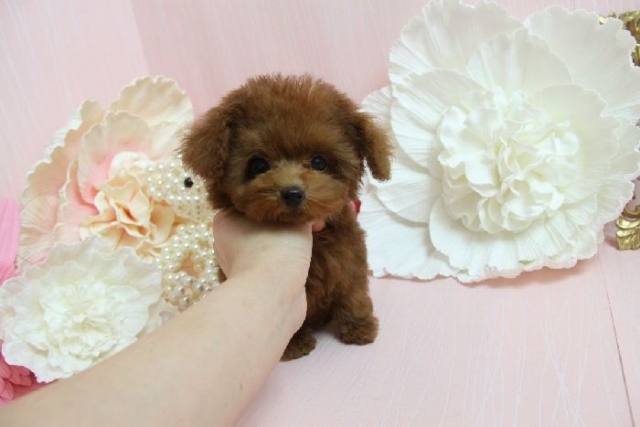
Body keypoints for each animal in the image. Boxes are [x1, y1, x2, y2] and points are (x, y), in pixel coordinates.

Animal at [181, 74, 392, 360]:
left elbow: (354, 295)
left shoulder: (351, 262)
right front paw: (294, 345)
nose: (292, 193)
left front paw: (360, 329)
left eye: (319, 162)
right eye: (258, 165)